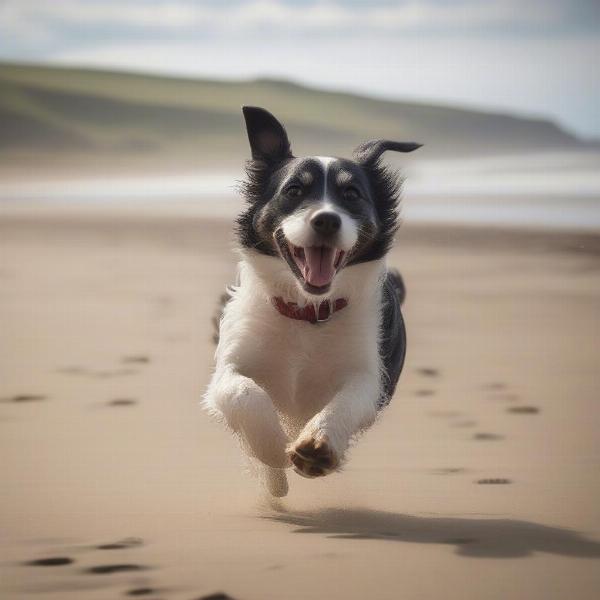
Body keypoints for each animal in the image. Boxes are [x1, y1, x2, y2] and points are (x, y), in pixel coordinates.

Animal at [204, 108, 420, 496]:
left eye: (351, 193)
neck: (308, 312)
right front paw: (272, 449)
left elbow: (347, 401)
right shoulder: (231, 366)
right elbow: (245, 394)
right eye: (293, 190)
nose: (326, 219)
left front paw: (317, 446)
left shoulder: (371, 377)